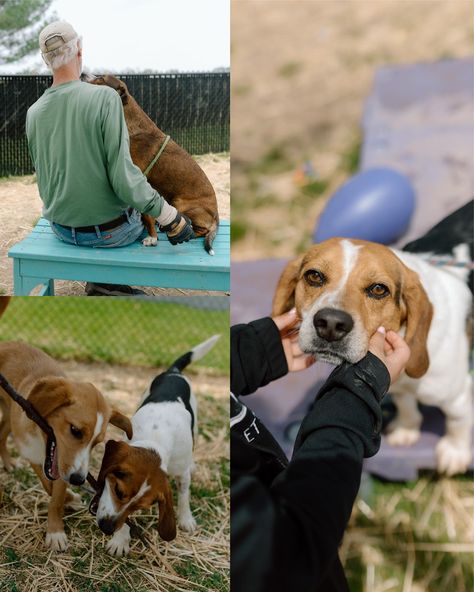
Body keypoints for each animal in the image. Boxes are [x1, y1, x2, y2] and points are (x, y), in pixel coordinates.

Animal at [0, 342, 132, 552]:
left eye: (97, 443)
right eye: (75, 430)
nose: (78, 480)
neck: (40, 437)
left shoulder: (61, 467)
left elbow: (56, 498)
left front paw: (56, 528)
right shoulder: (32, 453)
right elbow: (47, 485)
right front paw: (66, 505)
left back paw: (8, 463)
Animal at [84, 73, 220, 254]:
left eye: (101, 78)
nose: (82, 74)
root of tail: (216, 216)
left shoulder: (138, 181)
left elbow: (146, 214)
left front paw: (152, 238)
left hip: (180, 203)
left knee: (197, 230)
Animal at [272, 238, 472, 474]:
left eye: (378, 289)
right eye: (314, 276)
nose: (330, 324)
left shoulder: (457, 397)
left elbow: (457, 422)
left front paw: (455, 451)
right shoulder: (399, 387)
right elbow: (406, 405)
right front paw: (407, 428)